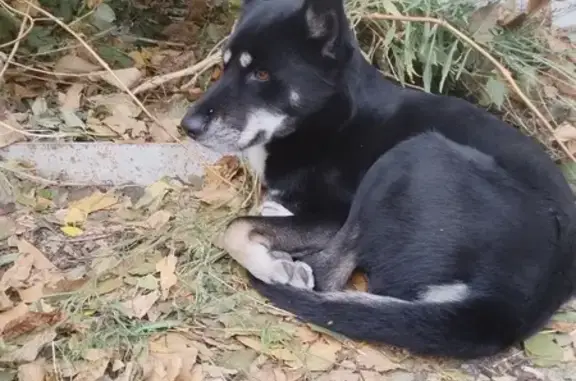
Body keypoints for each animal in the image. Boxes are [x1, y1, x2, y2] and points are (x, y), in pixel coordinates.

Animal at [181, 0, 576, 360]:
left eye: (261, 75)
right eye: (224, 66)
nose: (188, 126)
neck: (331, 119)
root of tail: (512, 311)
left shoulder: (333, 215)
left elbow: (235, 228)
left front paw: (273, 265)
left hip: (409, 156)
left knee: (326, 275)